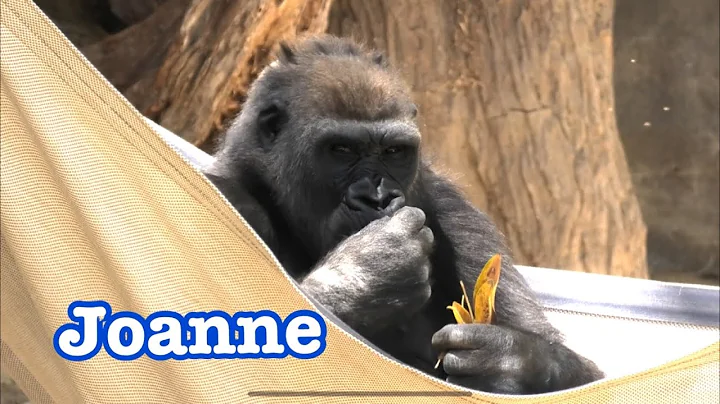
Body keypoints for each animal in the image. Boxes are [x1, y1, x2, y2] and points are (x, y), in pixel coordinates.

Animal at [203, 34, 604, 394]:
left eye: (394, 152)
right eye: (341, 150)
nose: (377, 198)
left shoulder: (456, 213)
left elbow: (585, 374)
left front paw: (511, 362)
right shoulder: (230, 195)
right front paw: (372, 272)